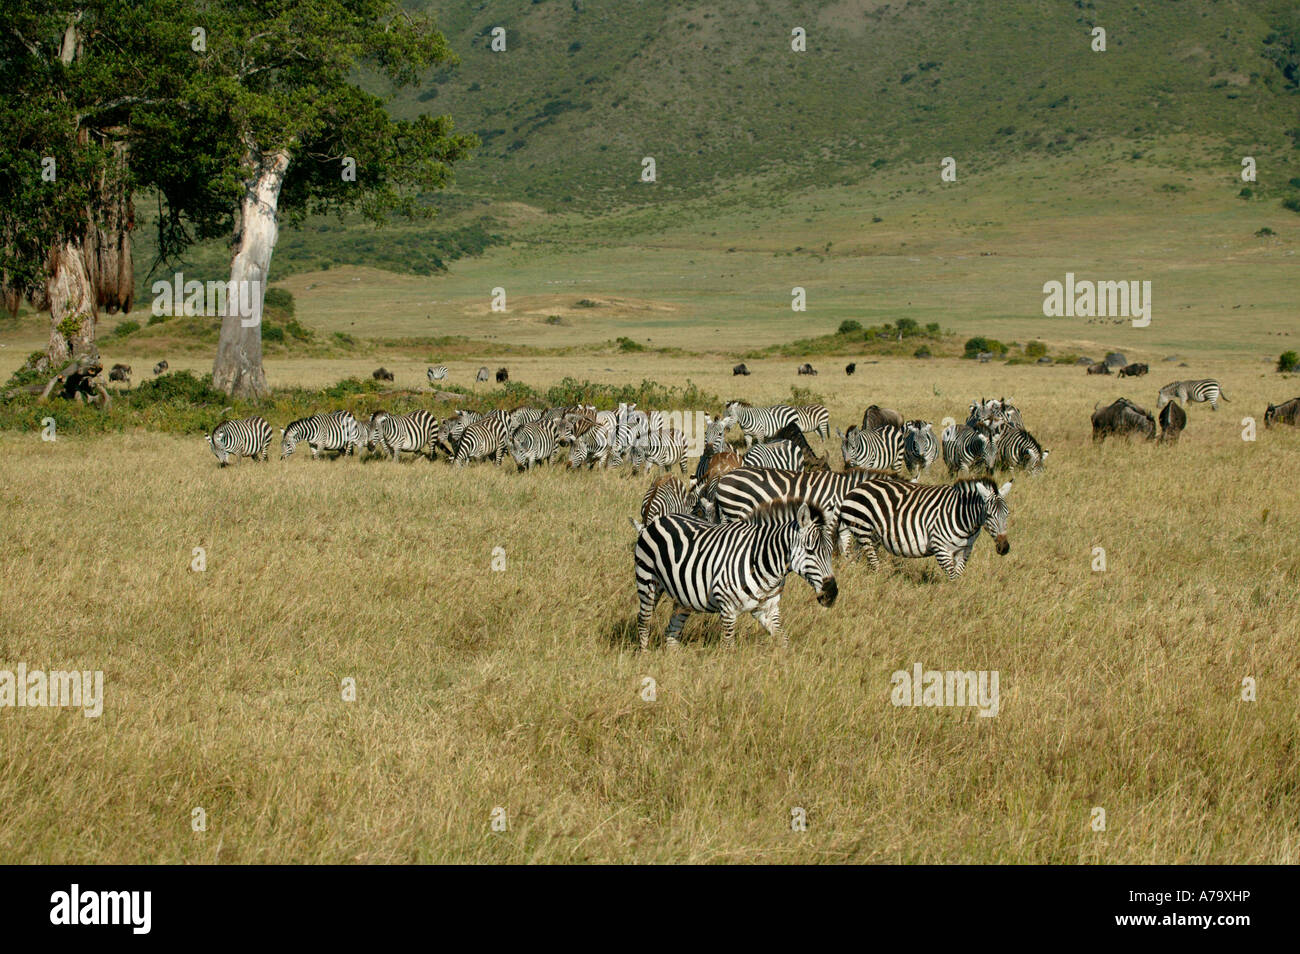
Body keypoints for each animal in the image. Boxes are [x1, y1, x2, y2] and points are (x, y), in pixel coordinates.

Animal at [633, 501, 838, 650]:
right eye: (810, 551)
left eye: (830, 552)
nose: (832, 594)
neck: (761, 562)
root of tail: (660, 519)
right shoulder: (727, 608)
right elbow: (728, 647)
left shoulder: (768, 609)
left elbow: (783, 640)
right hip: (648, 582)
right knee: (643, 621)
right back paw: (645, 656)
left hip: (683, 596)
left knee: (672, 631)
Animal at [838, 476, 1013, 581]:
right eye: (988, 515)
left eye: (1007, 514)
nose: (1004, 548)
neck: (962, 516)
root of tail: (857, 487)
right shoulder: (940, 546)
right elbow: (952, 576)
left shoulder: (965, 550)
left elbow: (958, 574)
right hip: (863, 530)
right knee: (872, 561)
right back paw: (879, 580)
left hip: (870, 535)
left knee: (858, 555)